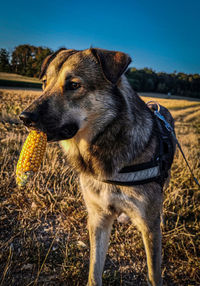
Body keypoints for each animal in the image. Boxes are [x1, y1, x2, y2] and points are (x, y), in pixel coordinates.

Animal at [18, 48, 175, 284]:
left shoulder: (148, 226)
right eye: (45, 83)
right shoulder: (98, 218)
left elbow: (153, 273)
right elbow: (94, 270)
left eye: (74, 85)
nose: (24, 117)